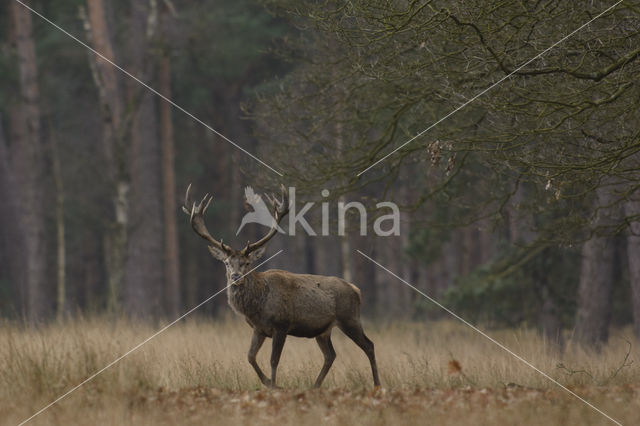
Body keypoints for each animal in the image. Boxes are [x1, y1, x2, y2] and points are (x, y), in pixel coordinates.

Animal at [181, 184, 380, 390]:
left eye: (246, 263)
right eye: (227, 263)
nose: (236, 276)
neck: (257, 306)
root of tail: (356, 290)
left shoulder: (281, 325)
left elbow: (273, 360)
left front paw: (275, 385)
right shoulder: (258, 329)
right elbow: (250, 356)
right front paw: (268, 382)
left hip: (350, 319)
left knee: (369, 345)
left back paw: (377, 384)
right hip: (323, 330)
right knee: (330, 355)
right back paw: (315, 386)